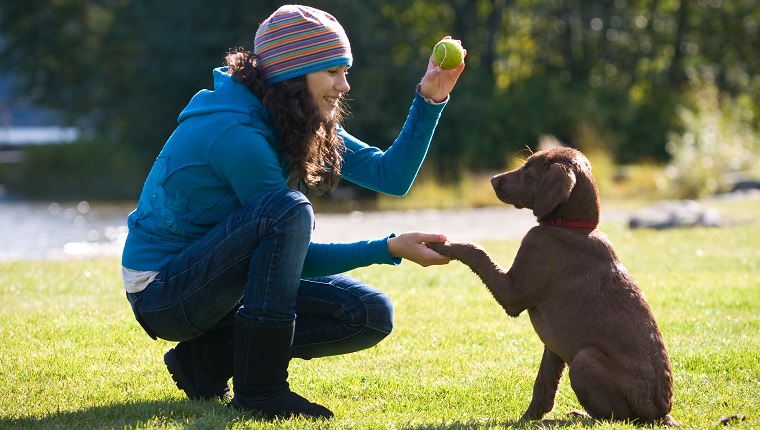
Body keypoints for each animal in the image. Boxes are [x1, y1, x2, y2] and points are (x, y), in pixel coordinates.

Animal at [424, 148, 680, 426]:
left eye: (527, 169)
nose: (492, 180)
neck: (570, 226)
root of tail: (661, 413)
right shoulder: (554, 344)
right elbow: (544, 384)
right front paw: (529, 417)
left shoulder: (513, 293)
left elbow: (476, 250)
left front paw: (441, 244)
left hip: (584, 360)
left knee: (614, 418)